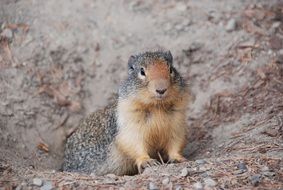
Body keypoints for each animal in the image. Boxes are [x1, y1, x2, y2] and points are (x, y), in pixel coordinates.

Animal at [63, 50, 191, 175]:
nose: (161, 89)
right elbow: (135, 143)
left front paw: (179, 158)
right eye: (142, 71)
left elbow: (175, 143)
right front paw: (147, 161)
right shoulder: (130, 124)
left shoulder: (176, 124)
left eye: (170, 69)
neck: (156, 107)